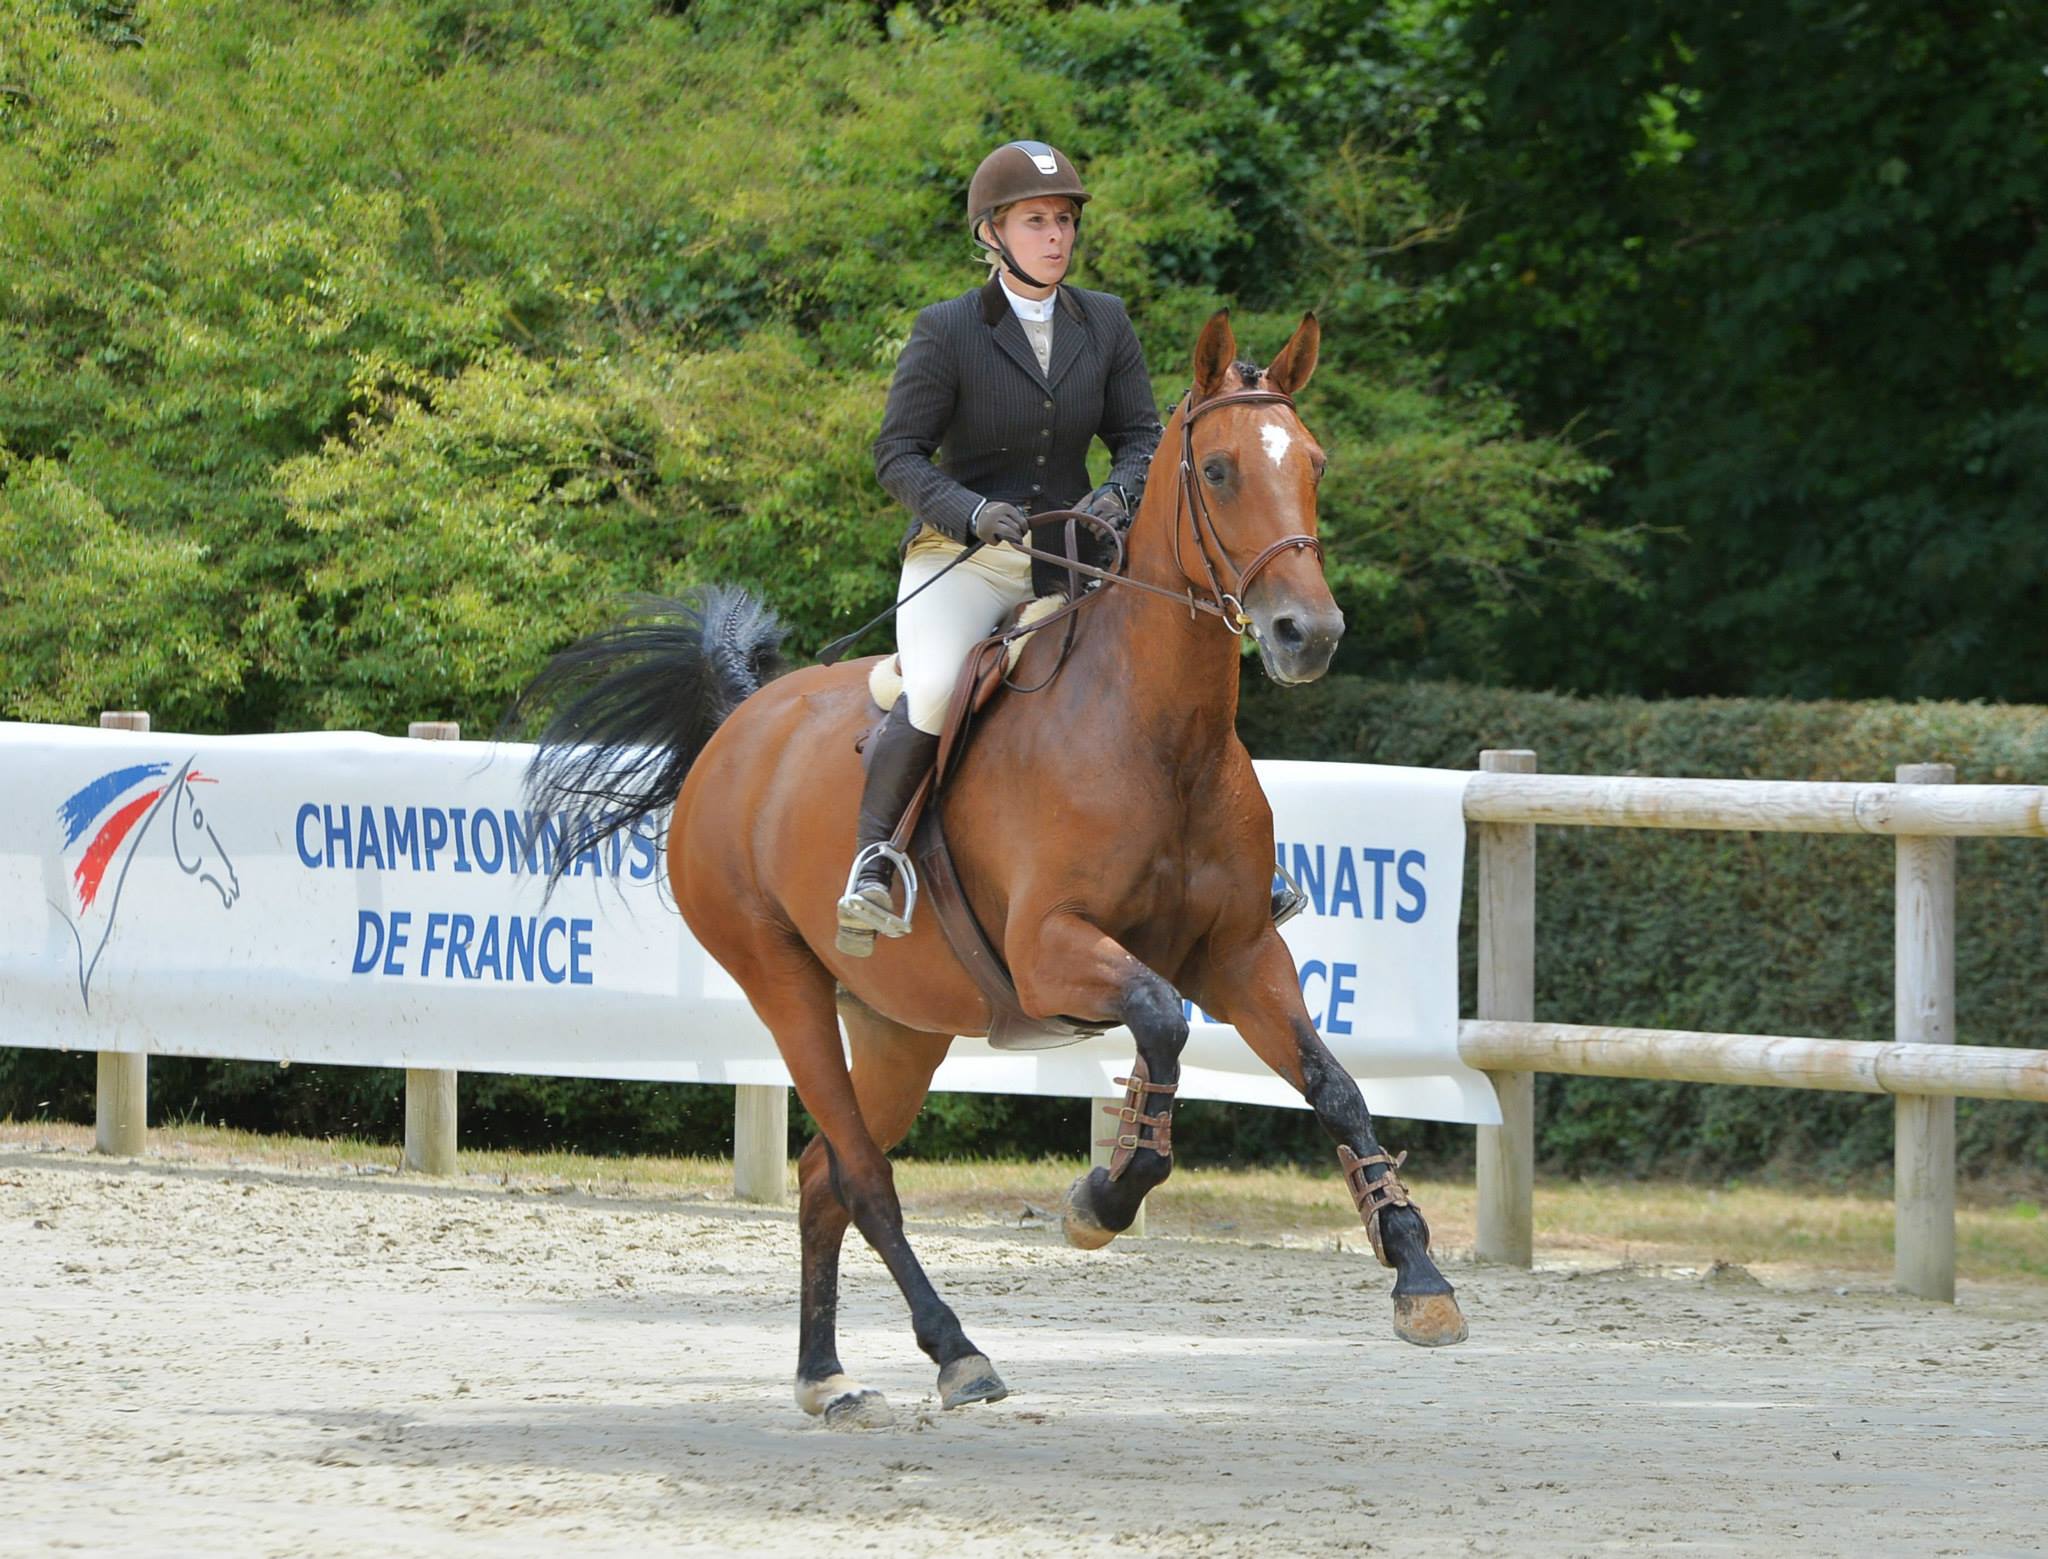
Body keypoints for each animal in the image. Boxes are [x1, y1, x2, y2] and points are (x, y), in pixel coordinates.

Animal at [516, 310, 1469, 1426]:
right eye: (1221, 469)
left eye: (1313, 463)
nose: (1305, 634)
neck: (1160, 734)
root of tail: (741, 725)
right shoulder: (1052, 950)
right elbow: (1160, 1023)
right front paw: (1102, 1196)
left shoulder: (1237, 953)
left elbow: (1333, 1084)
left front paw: (1418, 1275)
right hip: (784, 984)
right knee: (861, 1173)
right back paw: (955, 1351)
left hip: (900, 1026)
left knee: (821, 1173)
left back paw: (825, 1374)